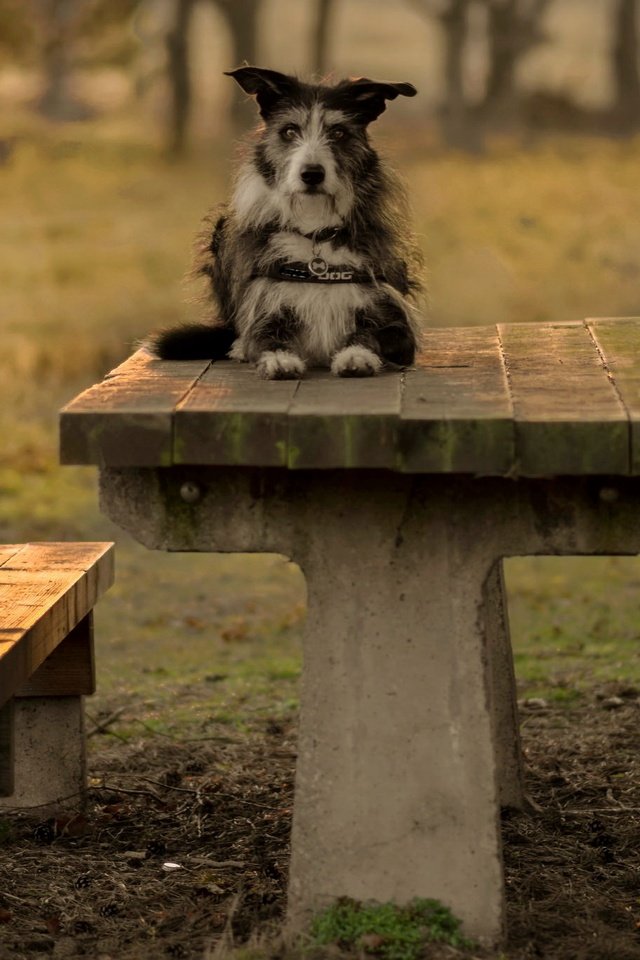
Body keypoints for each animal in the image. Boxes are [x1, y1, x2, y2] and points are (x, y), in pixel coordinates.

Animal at [154, 63, 422, 376]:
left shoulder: (395, 320)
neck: (315, 229)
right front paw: (277, 357)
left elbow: (374, 334)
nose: (312, 174)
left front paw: (356, 355)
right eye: (290, 131)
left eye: (339, 133)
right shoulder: (264, 306)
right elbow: (262, 336)